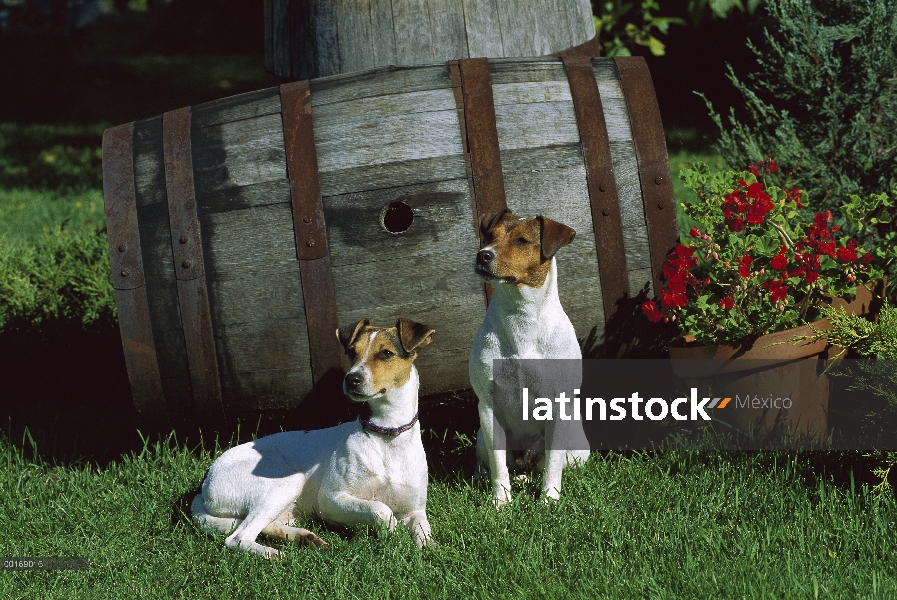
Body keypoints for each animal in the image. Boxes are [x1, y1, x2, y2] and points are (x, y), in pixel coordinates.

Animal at [192, 318, 438, 556]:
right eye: (352, 352)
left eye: (386, 353)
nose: (351, 379)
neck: (386, 435)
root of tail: (205, 483)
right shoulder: (331, 500)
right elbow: (381, 509)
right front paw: (392, 534)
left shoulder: (415, 511)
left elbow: (424, 532)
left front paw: (428, 549)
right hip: (288, 480)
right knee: (238, 537)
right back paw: (272, 553)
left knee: (261, 525)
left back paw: (301, 537)